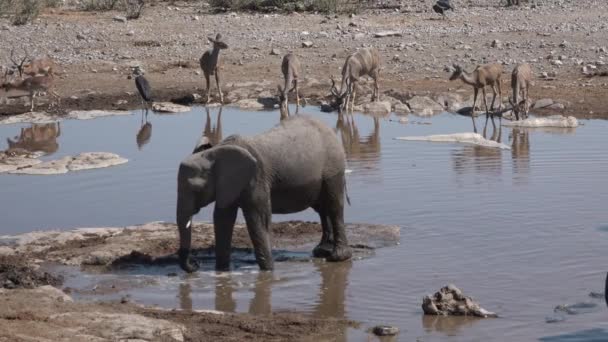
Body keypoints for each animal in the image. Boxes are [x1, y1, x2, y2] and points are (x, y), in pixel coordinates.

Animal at [176, 115, 352, 272]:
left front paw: (268, 271)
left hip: (333, 168)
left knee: (334, 205)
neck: (216, 151)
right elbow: (222, 219)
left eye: (197, 190)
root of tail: (329, 129)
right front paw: (222, 271)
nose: (196, 264)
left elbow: (258, 219)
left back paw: (337, 257)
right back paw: (322, 251)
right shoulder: (228, 185)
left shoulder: (257, 178)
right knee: (322, 208)